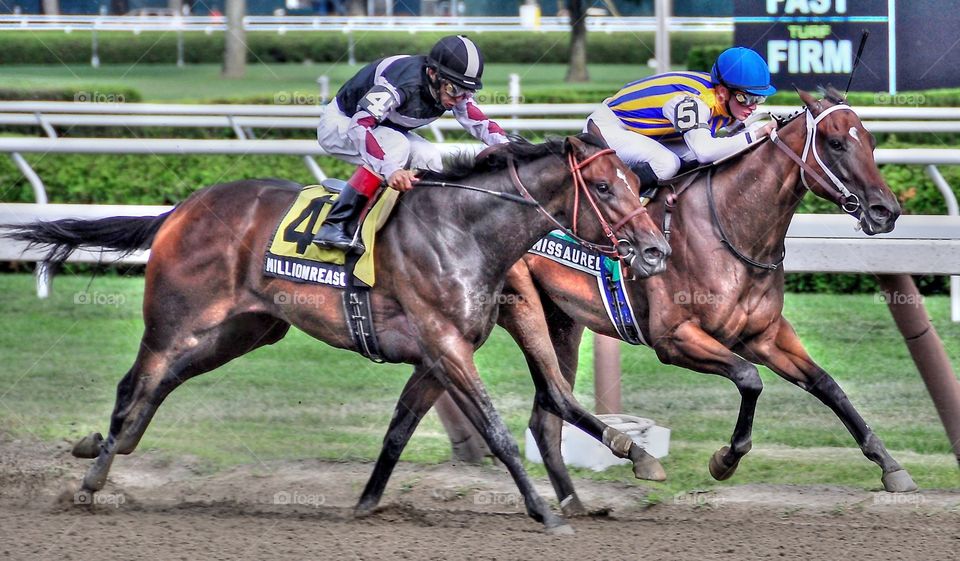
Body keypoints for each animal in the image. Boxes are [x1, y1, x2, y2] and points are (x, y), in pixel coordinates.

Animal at [3, 136, 672, 532]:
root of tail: (178, 210)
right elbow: (497, 430)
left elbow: (400, 429)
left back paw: (104, 449)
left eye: (636, 184)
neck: (464, 231)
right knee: (135, 383)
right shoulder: (447, 345)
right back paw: (94, 475)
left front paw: (367, 503)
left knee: (158, 387)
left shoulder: (437, 355)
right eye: (605, 187)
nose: (656, 251)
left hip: (245, 331)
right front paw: (544, 512)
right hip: (177, 321)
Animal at [352, 91, 916, 516]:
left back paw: (575, 502)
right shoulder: (676, 338)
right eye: (837, 142)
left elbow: (828, 385)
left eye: (870, 139)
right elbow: (749, 380)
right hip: (522, 306)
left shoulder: (765, 335)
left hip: (562, 322)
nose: (885, 211)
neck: (733, 228)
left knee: (545, 415)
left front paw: (891, 467)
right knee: (548, 398)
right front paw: (724, 459)